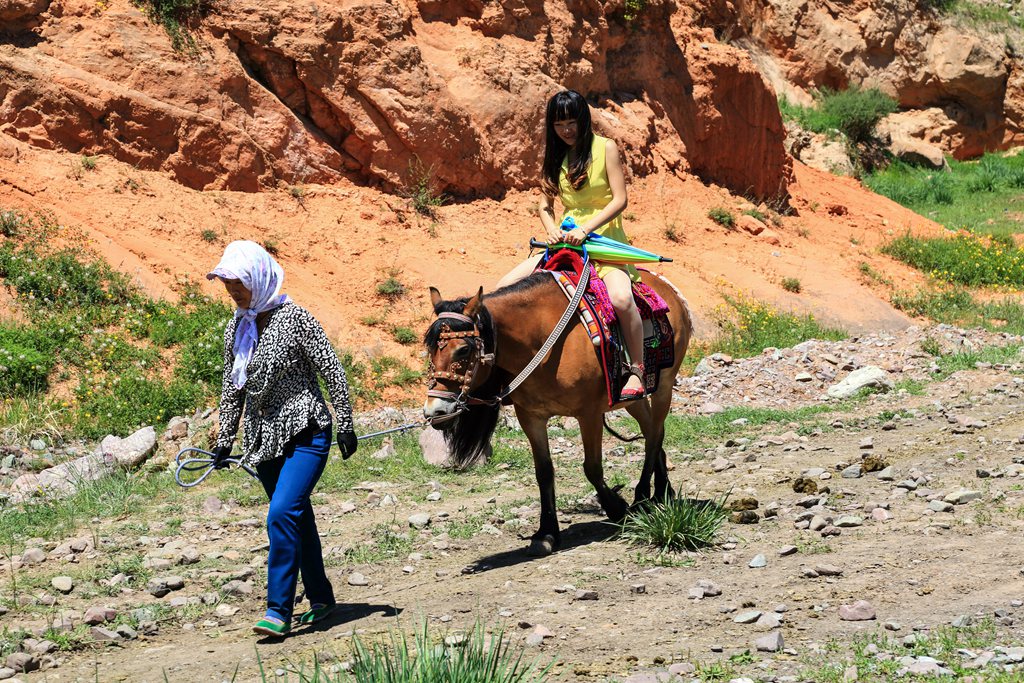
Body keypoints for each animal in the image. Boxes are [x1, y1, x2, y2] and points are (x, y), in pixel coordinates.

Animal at [419, 266, 692, 557]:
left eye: (463, 349)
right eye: (429, 349)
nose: (435, 411)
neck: (541, 339)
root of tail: (668, 289)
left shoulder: (589, 414)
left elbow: (592, 468)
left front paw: (617, 508)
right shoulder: (531, 417)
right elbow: (544, 472)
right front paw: (546, 533)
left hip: (664, 386)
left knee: (654, 435)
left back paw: (643, 497)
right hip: (633, 399)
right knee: (653, 431)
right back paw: (662, 492)